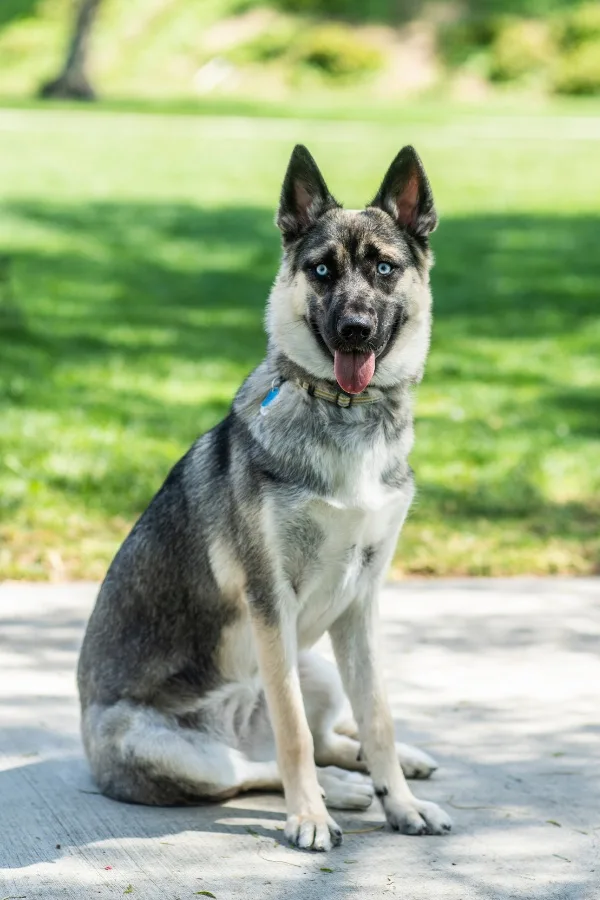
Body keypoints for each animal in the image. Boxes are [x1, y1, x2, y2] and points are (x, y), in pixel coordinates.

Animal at [78, 142, 450, 852]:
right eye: (322, 270)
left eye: (384, 269)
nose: (355, 330)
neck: (344, 411)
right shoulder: (269, 599)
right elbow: (293, 734)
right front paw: (312, 818)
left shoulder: (360, 605)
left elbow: (379, 717)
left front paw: (402, 803)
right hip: (178, 747)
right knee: (261, 763)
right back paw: (338, 792)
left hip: (319, 665)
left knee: (334, 732)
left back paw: (388, 767)